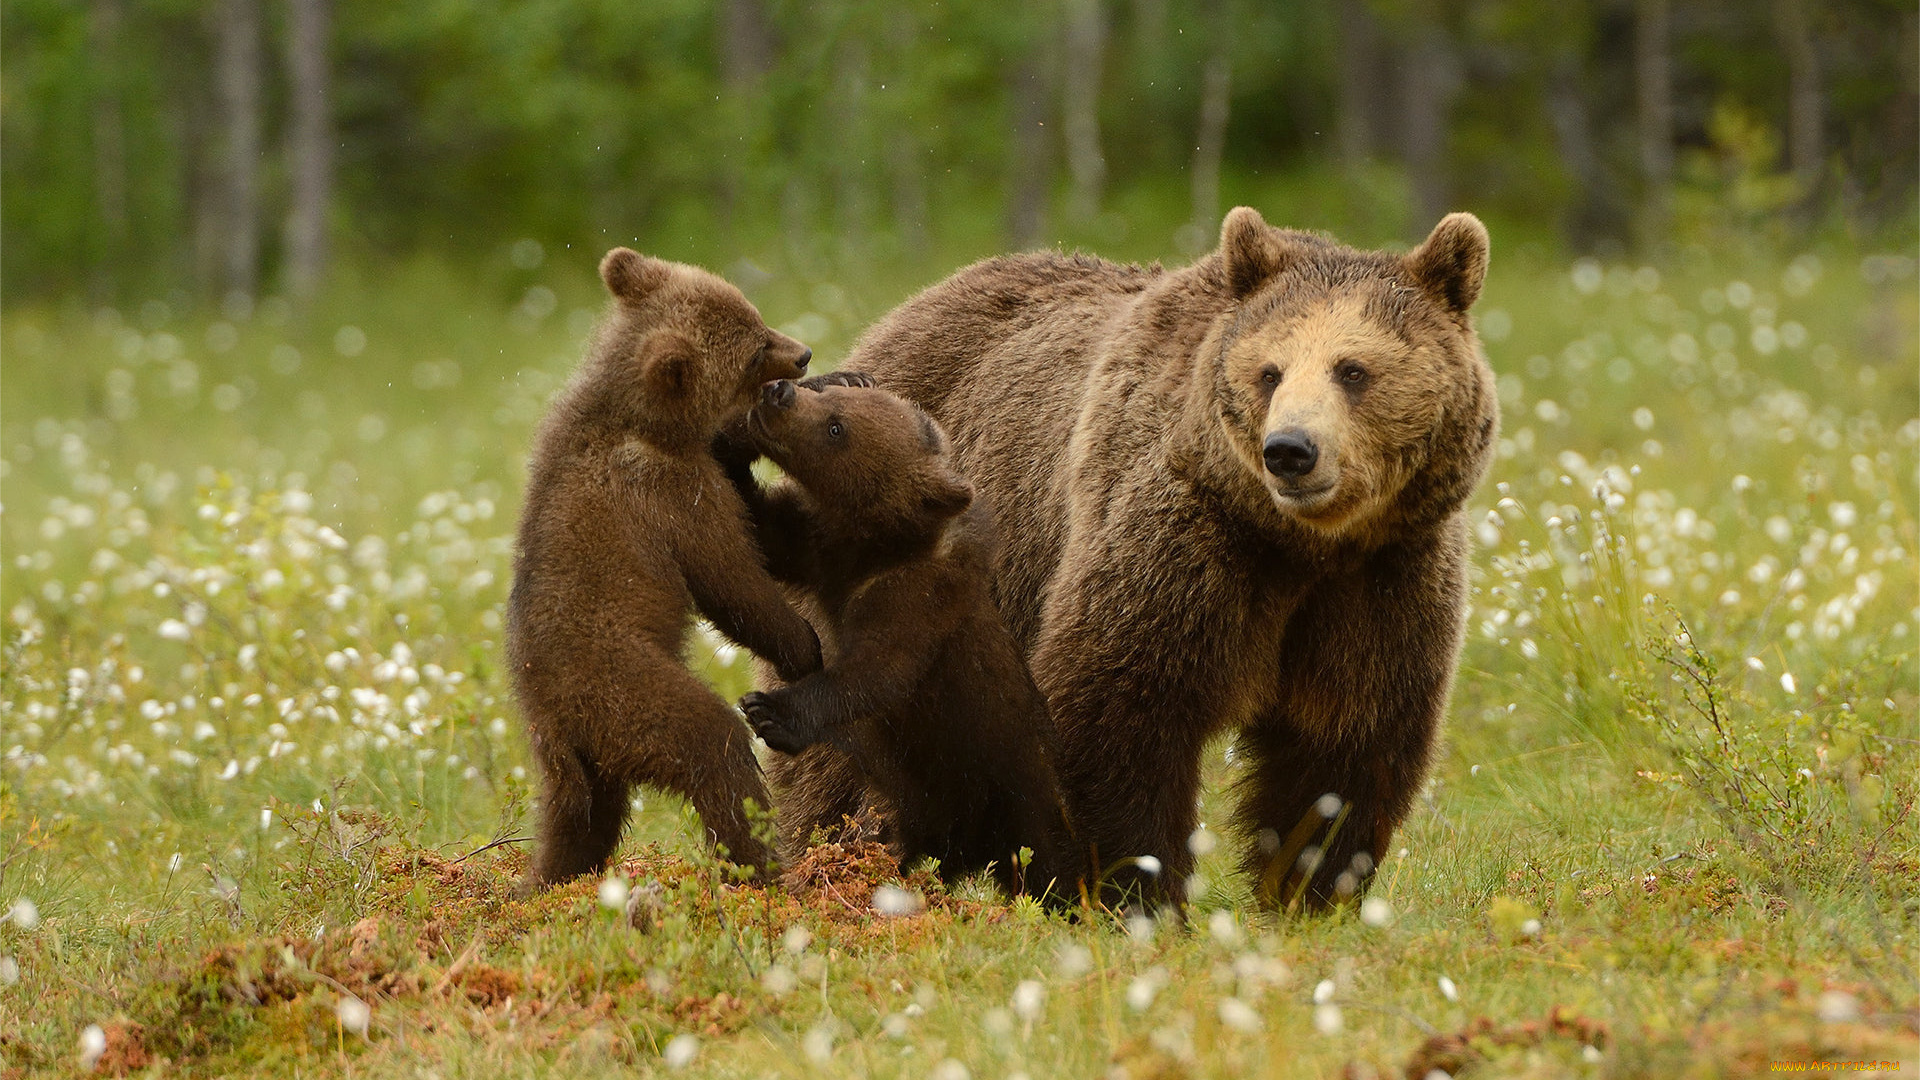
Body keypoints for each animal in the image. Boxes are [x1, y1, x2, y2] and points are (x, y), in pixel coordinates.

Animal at [852, 205, 1497, 903]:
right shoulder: (1181, 544)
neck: (1300, 547)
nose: (1290, 450)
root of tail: (907, 308)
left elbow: (1343, 743)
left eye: (1352, 369)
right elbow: (1118, 707)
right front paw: (1128, 891)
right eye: (1270, 372)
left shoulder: (1382, 578)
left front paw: (1310, 891)